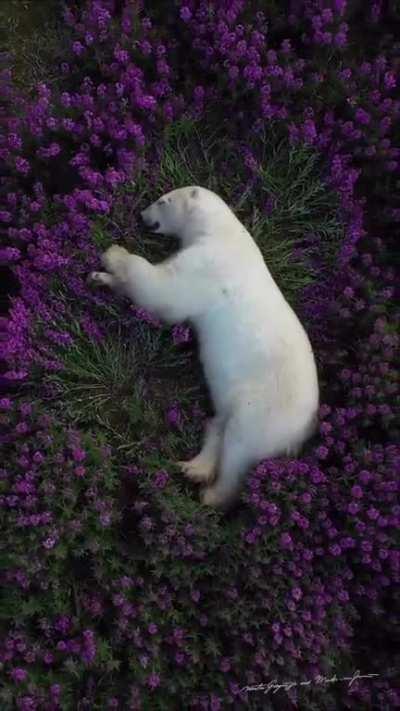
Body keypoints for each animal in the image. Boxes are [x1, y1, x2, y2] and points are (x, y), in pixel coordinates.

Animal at [89, 186, 319, 509]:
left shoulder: (207, 265)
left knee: (238, 449)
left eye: (163, 200)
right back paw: (193, 468)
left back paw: (211, 494)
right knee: (219, 424)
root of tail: (305, 430)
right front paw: (99, 277)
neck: (222, 232)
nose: (142, 215)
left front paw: (113, 254)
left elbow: (164, 291)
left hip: (265, 411)